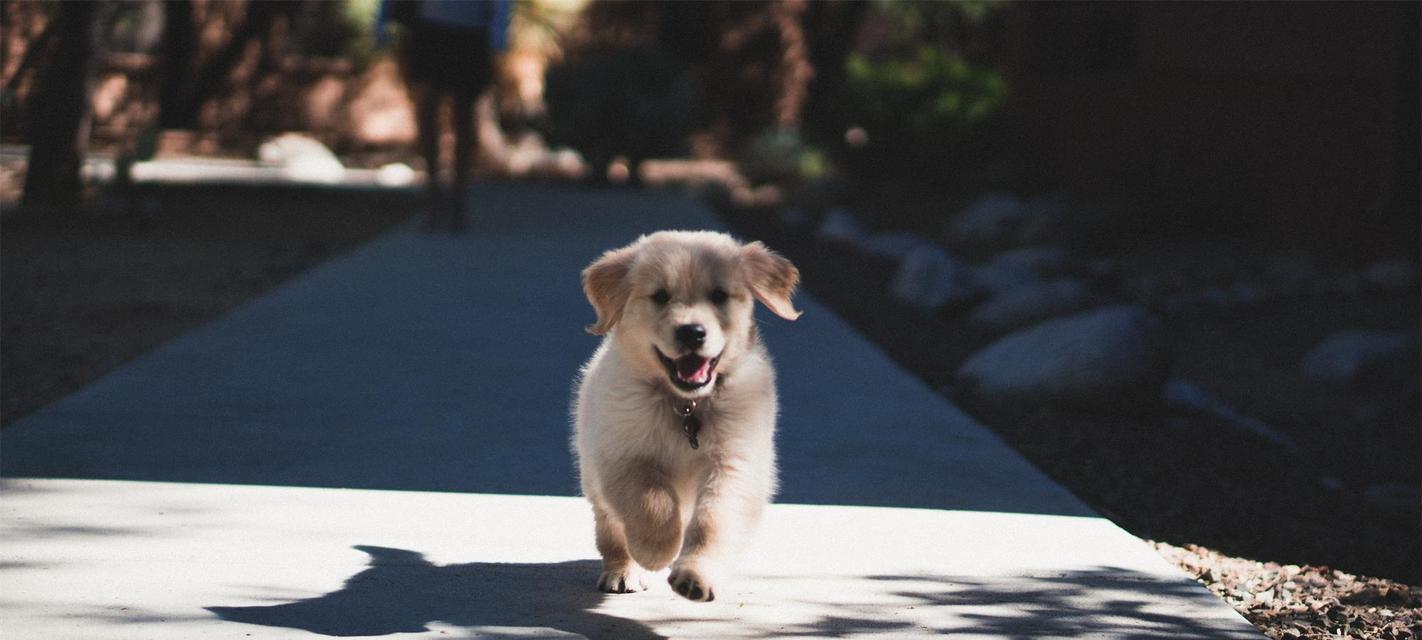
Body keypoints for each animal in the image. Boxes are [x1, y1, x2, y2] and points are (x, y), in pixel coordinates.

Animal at [574, 231, 802, 603]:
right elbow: (651, 501)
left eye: (719, 295)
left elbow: (714, 521)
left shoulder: (735, 462)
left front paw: (696, 575)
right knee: (611, 530)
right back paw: (623, 570)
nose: (692, 332)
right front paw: (656, 550)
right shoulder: (622, 455)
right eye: (660, 296)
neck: (686, 405)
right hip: (593, 477)